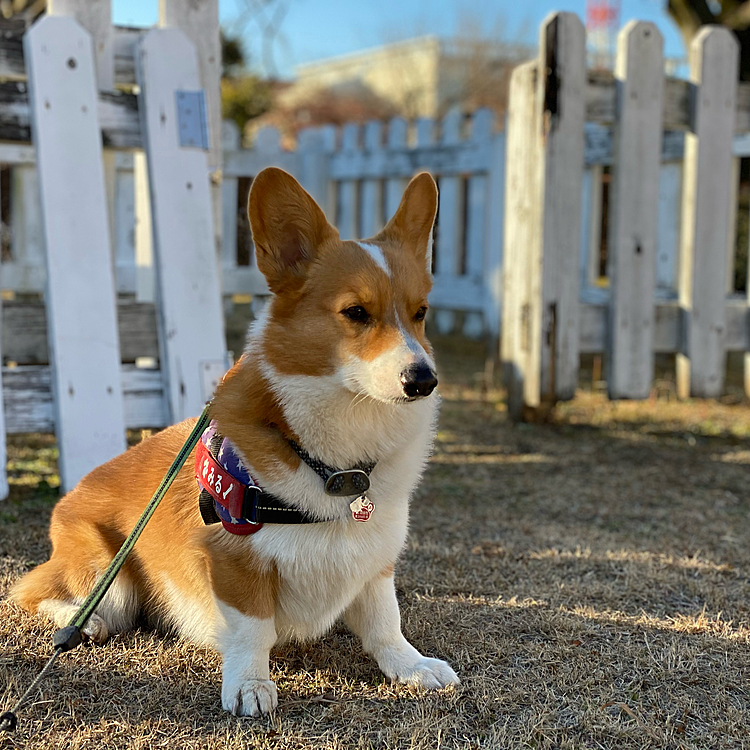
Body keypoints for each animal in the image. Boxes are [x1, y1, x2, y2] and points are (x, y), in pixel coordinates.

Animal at [10, 166, 458, 716]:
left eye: (420, 313)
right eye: (356, 312)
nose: (423, 380)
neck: (338, 457)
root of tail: (69, 496)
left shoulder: (375, 558)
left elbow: (384, 621)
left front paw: (412, 666)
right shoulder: (233, 558)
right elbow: (252, 629)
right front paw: (249, 684)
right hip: (106, 575)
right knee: (31, 592)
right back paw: (82, 621)